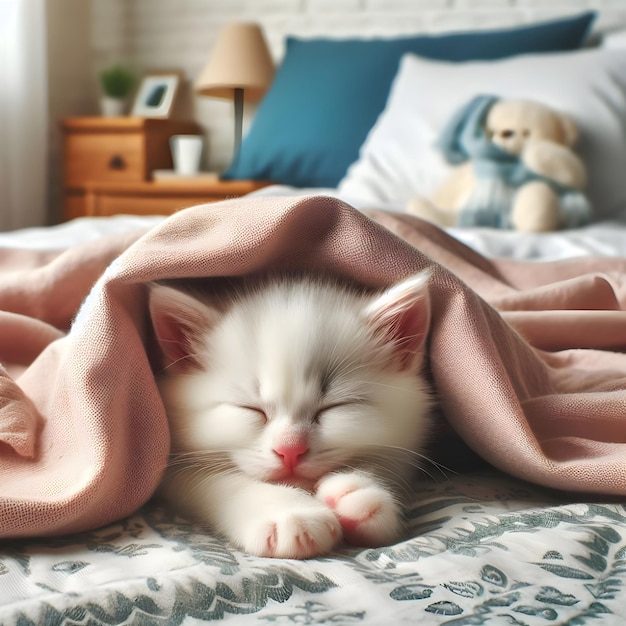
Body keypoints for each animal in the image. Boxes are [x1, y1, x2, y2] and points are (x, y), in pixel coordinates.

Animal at [149, 270, 432, 560]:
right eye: (251, 409)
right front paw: (289, 512)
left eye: (332, 407)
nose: (291, 450)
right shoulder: (169, 467)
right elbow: (215, 482)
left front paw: (360, 493)